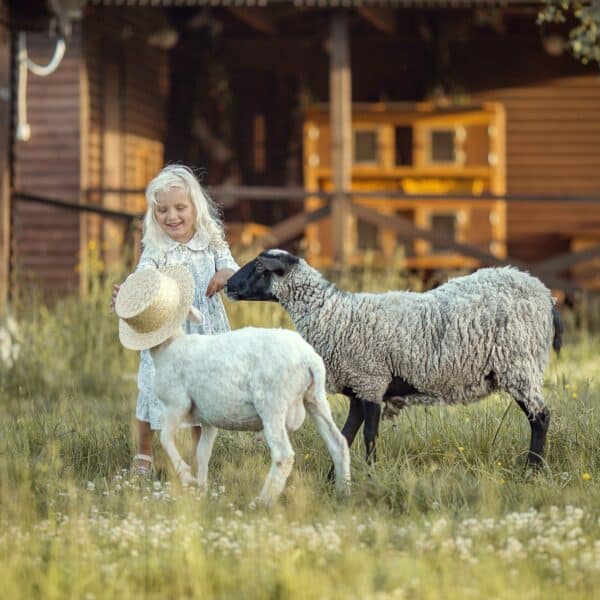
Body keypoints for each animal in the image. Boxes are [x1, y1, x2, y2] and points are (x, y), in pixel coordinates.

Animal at [224, 248, 564, 468]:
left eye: (259, 268)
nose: (227, 285)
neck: (332, 314)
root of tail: (545, 295)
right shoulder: (358, 388)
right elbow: (345, 437)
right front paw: (335, 479)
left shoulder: (371, 381)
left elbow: (369, 437)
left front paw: (371, 475)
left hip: (519, 365)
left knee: (541, 418)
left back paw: (532, 469)